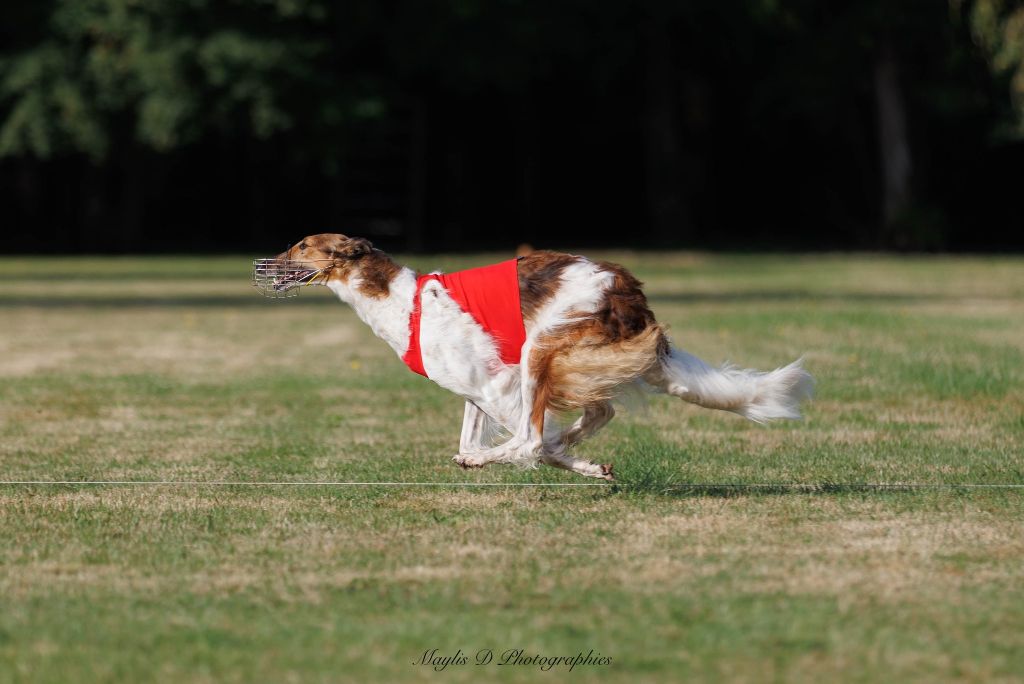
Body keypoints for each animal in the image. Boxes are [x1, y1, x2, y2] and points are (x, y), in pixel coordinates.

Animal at [251, 235, 811, 481]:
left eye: (301, 246)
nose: (263, 262)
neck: (401, 300)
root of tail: (630, 292)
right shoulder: (476, 388)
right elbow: (492, 435)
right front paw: (588, 466)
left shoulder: (495, 383)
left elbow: (526, 442)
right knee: (597, 411)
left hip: (539, 348)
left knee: (541, 434)